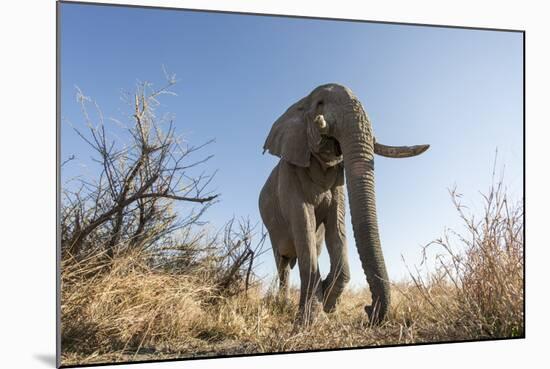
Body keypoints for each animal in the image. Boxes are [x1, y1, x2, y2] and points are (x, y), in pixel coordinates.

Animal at [260, 83, 432, 324]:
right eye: (320, 103)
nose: (369, 309)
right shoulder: (290, 174)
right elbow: (304, 224)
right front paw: (310, 321)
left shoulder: (337, 181)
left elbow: (336, 227)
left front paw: (327, 302)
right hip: (272, 231)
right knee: (283, 264)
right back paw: (282, 304)